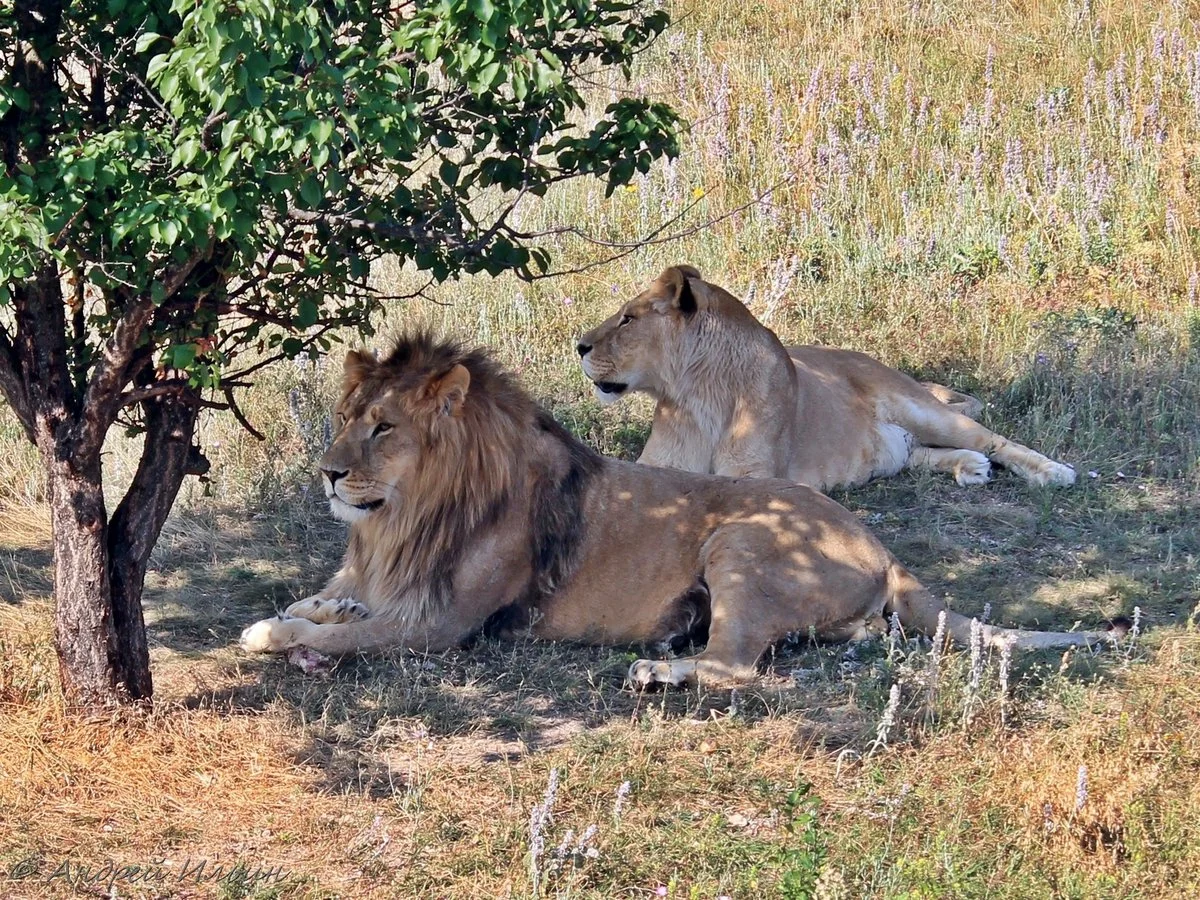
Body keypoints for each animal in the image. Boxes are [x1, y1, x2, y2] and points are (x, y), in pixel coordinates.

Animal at [238, 336, 1118, 686]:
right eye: (345, 418)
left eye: (384, 429)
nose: (326, 473)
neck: (399, 518)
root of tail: (881, 545)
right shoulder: (376, 580)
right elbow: (325, 601)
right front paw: (306, 610)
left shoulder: (439, 627)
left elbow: (335, 633)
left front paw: (275, 635)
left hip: (740, 541)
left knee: (736, 669)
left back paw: (658, 671)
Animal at [573, 267, 1080, 494]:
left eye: (628, 318)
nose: (579, 346)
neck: (697, 395)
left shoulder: (756, 476)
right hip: (892, 449)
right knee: (916, 453)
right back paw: (970, 467)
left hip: (922, 408)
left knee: (995, 439)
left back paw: (1053, 472)